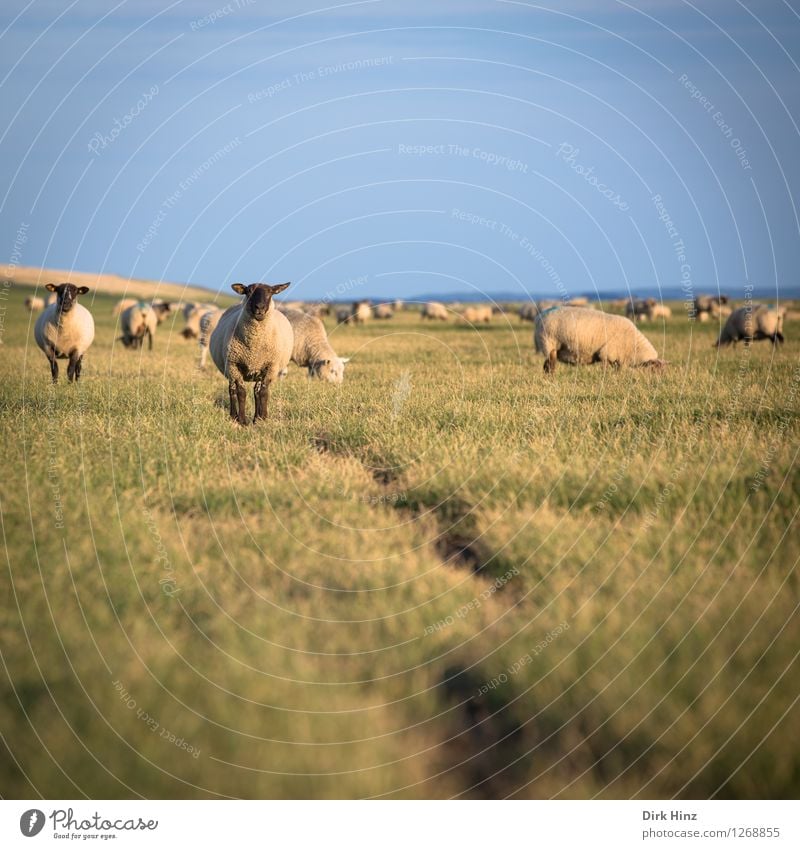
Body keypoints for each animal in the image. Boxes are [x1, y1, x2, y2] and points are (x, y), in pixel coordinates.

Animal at [209, 284, 294, 428]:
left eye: (270, 292)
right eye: (248, 291)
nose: (259, 307)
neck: (254, 348)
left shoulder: (270, 367)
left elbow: (263, 393)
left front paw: (262, 419)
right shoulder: (234, 365)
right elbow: (241, 393)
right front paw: (243, 421)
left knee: (256, 392)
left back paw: (256, 418)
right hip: (229, 369)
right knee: (232, 390)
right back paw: (233, 416)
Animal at [536, 304, 664, 372]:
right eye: (654, 370)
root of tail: (541, 315)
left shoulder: (618, 359)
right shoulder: (607, 354)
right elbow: (606, 370)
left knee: (546, 365)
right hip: (549, 343)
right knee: (550, 366)